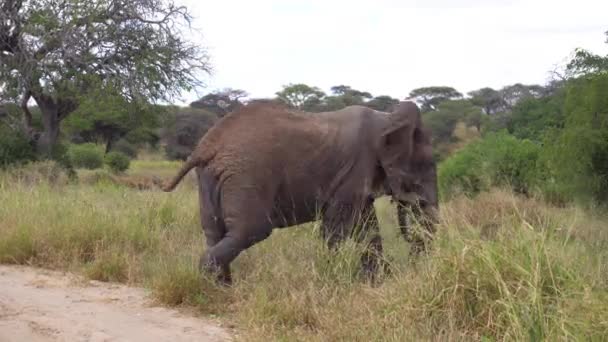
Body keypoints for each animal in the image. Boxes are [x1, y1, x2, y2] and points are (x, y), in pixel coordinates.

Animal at [162, 99, 436, 286]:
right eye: (425, 166)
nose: (413, 258)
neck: (388, 119)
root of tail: (206, 145)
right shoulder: (355, 170)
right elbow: (335, 231)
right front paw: (336, 281)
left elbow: (367, 228)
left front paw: (375, 283)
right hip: (245, 174)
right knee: (250, 230)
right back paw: (210, 284)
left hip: (211, 176)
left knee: (214, 231)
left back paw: (222, 288)